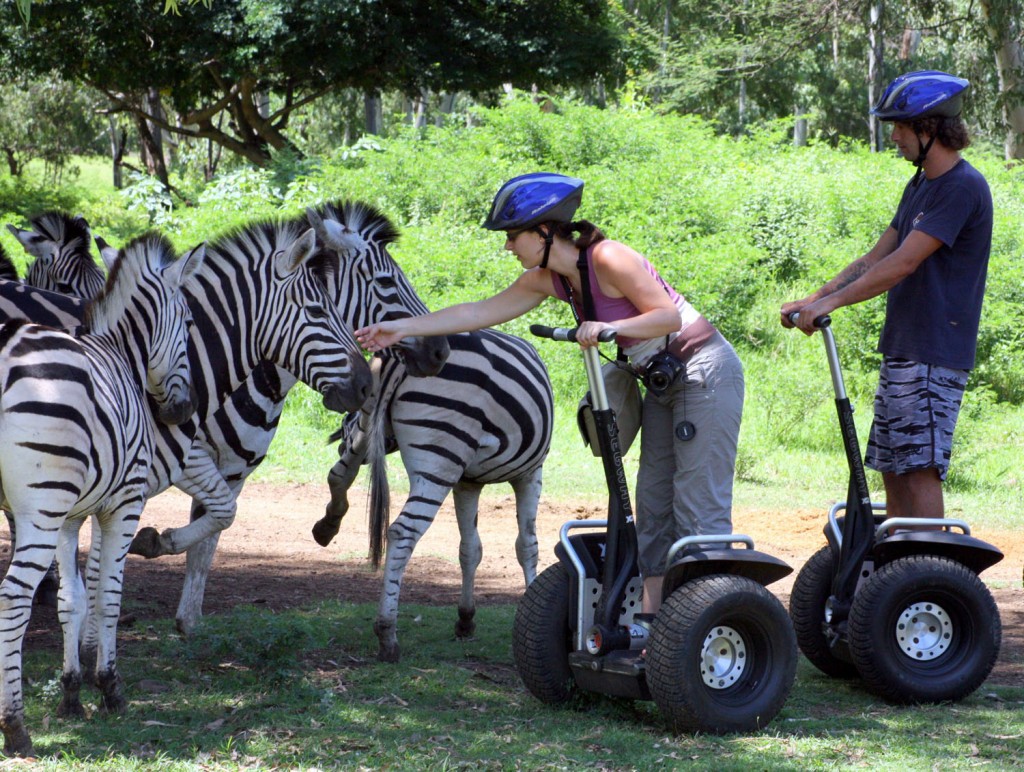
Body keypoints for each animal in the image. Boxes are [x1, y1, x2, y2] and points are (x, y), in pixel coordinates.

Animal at [0, 231, 203, 753]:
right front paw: (110, 688)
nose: (183, 411)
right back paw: (16, 728)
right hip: (40, 510)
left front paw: (71, 694)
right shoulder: (124, 504)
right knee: (13, 596)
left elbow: (72, 599)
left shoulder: (70, 517)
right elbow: (108, 595)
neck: (123, 355)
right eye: (189, 322)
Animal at [313, 327, 557, 659]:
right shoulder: (530, 474)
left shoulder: (467, 482)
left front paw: (466, 619)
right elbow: (527, 546)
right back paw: (387, 632)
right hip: (439, 457)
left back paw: (326, 527)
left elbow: (470, 549)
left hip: (371, 429)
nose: (339, 442)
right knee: (402, 531)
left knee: (338, 476)